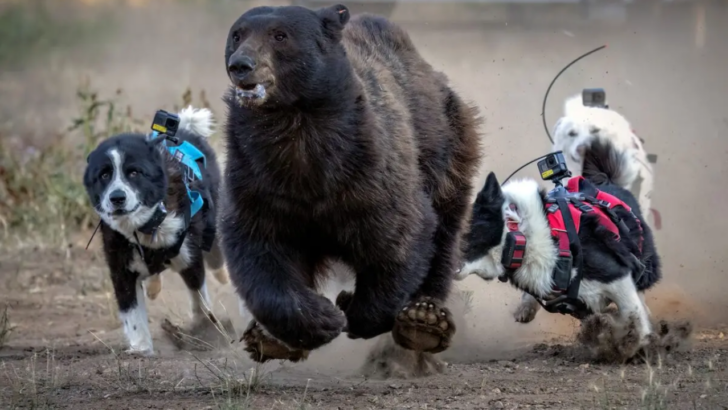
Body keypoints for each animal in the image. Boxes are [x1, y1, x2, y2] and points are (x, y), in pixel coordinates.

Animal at [220, 4, 482, 363]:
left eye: (280, 35)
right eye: (237, 34)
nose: (241, 65)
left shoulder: (368, 174)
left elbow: (400, 238)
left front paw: (354, 310)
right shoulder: (258, 180)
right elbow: (258, 249)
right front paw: (320, 319)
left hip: (446, 147)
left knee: (444, 233)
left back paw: (424, 319)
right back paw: (269, 337)